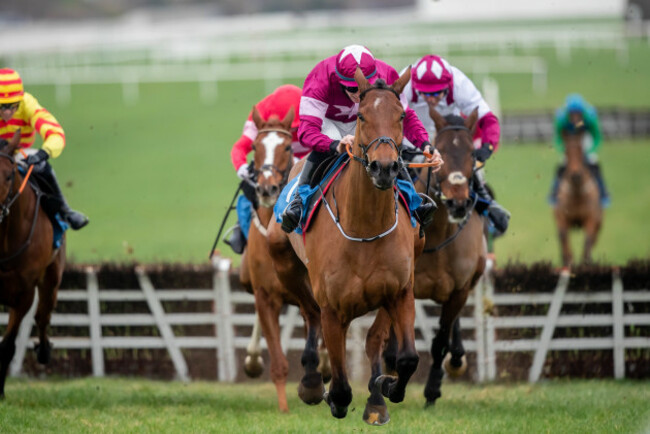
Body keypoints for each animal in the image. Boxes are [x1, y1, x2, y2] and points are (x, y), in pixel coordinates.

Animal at [382, 108, 484, 406]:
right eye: (442, 151)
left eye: (472, 153)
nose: (458, 203)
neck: (439, 235)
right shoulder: (399, 286)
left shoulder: (459, 290)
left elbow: (440, 342)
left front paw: (432, 390)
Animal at [552, 129, 604, 266]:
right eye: (566, 151)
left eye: (581, 150)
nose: (576, 175)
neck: (576, 194)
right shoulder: (561, 216)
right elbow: (563, 235)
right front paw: (568, 260)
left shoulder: (591, 217)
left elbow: (587, 240)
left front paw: (585, 262)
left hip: (599, 223)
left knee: (593, 239)